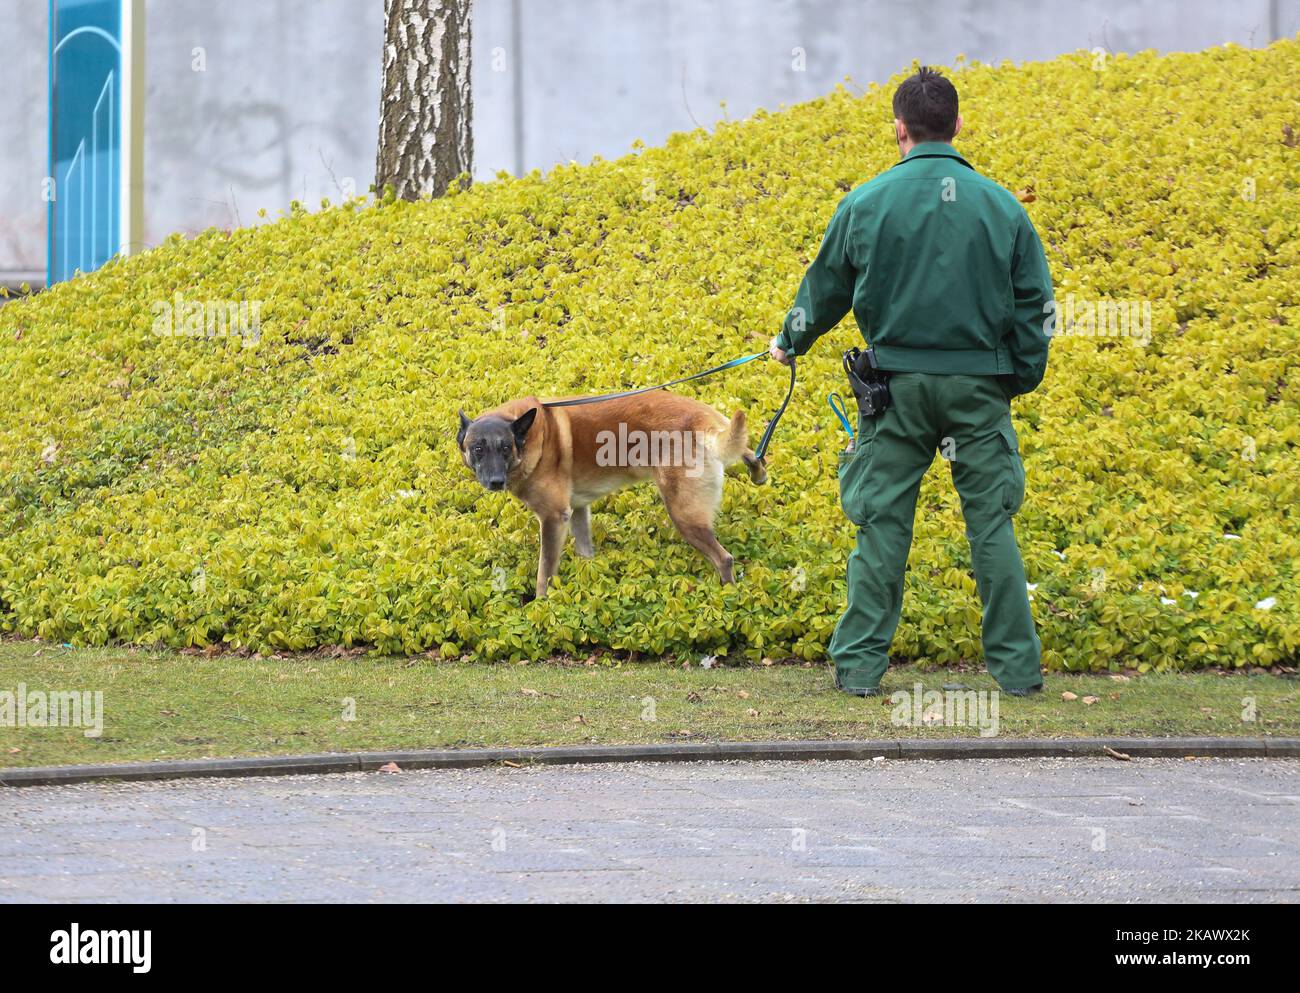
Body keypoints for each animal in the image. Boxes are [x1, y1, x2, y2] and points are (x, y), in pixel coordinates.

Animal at [457, 392, 764, 597]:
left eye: (505, 448)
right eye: (478, 449)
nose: (495, 482)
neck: (532, 437)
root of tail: (701, 423)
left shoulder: (553, 519)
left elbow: (544, 571)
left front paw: (541, 605)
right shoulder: (577, 511)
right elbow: (585, 552)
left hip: (685, 517)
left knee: (724, 559)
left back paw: (728, 598)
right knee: (749, 450)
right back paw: (757, 468)